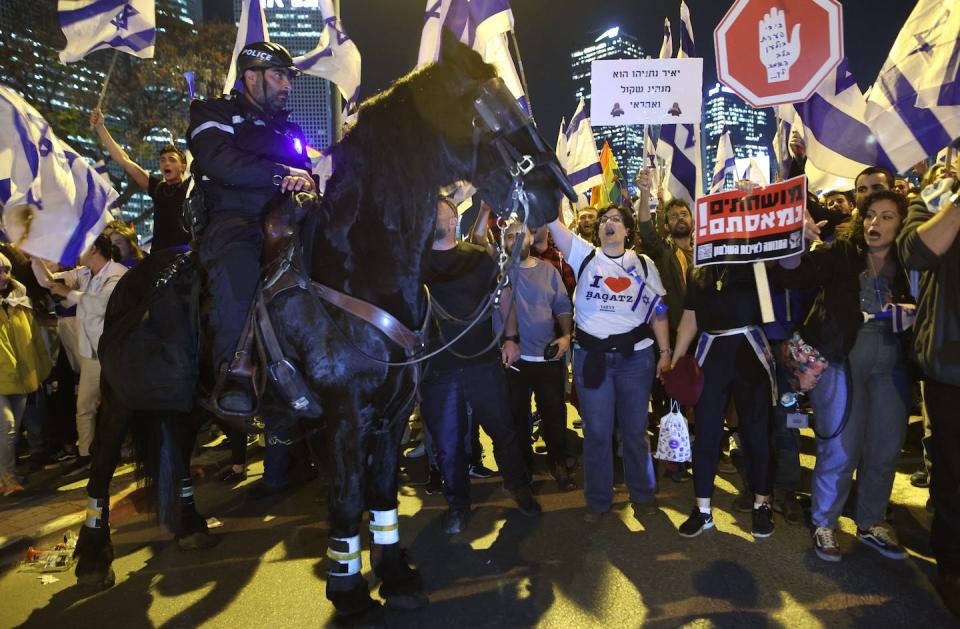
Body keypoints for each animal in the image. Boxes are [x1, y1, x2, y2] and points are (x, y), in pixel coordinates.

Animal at [75, 36, 572, 620]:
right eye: (490, 107)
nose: (555, 193)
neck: (359, 267)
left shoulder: (392, 414)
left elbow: (381, 494)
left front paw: (395, 574)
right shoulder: (342, 416)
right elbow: (348, 498)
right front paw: (349, 588)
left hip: (187, 399)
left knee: (175, 445)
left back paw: (192, 525)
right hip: (119, 396)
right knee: (101, 463)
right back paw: (92, 555)